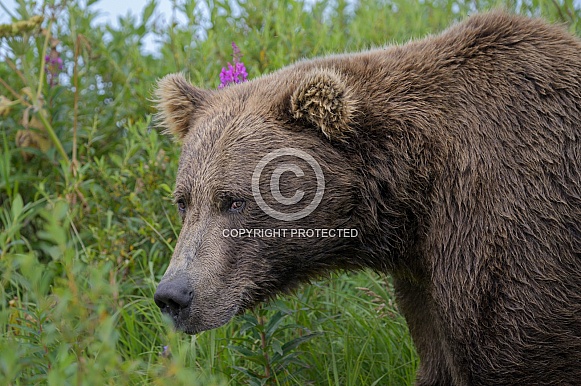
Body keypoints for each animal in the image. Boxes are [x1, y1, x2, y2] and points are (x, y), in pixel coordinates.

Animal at [153, 10, 580, 384]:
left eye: (234, 201)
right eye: (184, 201)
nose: (173, 295)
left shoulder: (512, 223)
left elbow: (516, 354)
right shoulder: (422, 279)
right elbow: (437, 358)